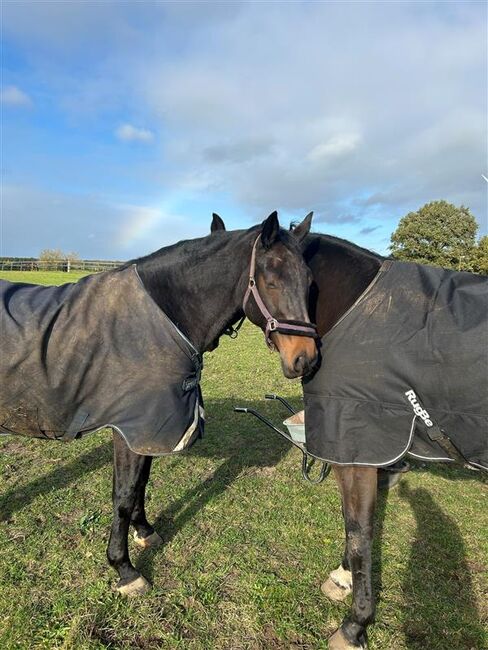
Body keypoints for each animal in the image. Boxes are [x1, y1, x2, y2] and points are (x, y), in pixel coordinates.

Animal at [0, 211, 320, 592]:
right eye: (271, 282)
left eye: (310, 281)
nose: (305, 359)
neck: (163, 320)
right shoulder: (130, 430)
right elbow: (124, 494)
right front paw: (124, 569)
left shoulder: (150, 429)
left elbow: (141, 484)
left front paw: (145, 532)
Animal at [214, 214, 488, 648]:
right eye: (272, 282)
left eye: (309, 283)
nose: (304, 359)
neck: (360, 312)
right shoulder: (363, 452)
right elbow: (357, 527)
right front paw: (343, 580)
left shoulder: (359, 450)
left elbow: (359, 532)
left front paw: (355, 623)